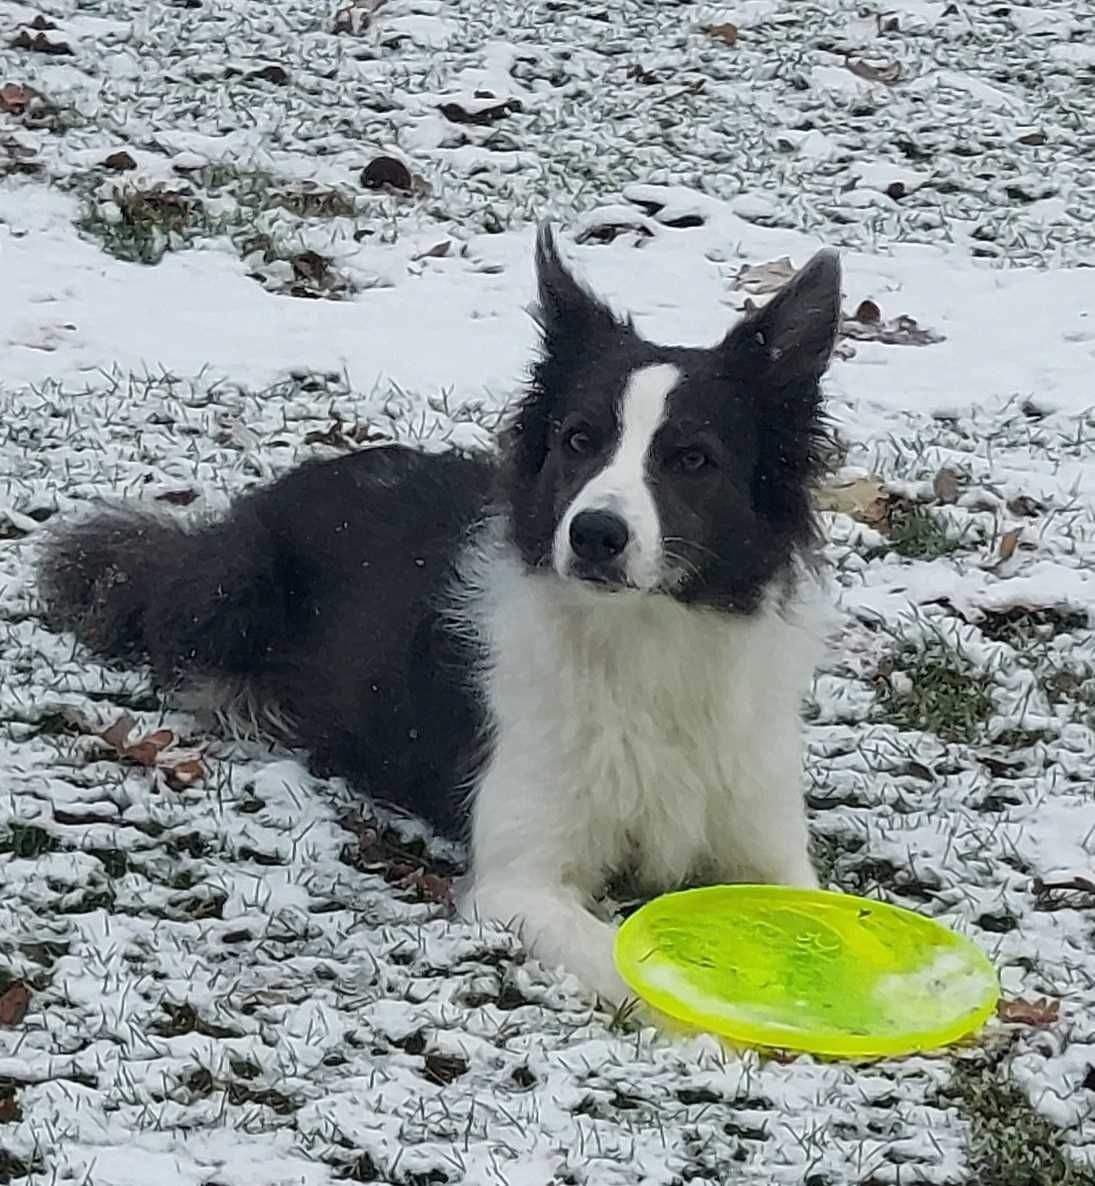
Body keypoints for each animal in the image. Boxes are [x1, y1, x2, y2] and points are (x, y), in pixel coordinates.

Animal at [38, 226, 844, 1005]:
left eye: (693, 459)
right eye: (579, 439)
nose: (593, 535)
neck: (649, 642)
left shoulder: (768, 847)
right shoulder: (519, 883)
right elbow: (630, 970)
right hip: (232, 593)